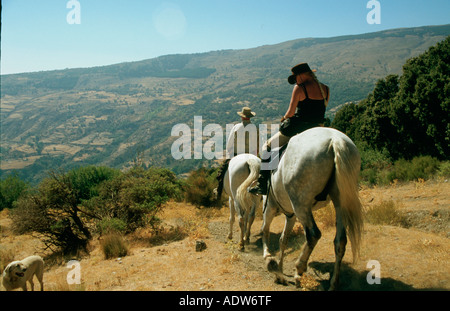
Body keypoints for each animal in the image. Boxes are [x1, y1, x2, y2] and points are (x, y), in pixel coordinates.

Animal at [262, 125, 364, 292]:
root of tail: (335, 140)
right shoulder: (291, 215)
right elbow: (283, 239)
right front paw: (280, 270)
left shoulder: (270, 206)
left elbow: (266, 230)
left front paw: (271, 262)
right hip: (339, 202)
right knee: (340, 241)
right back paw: (333, 283)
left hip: (301, 205)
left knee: (313, 235)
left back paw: (299, 270)